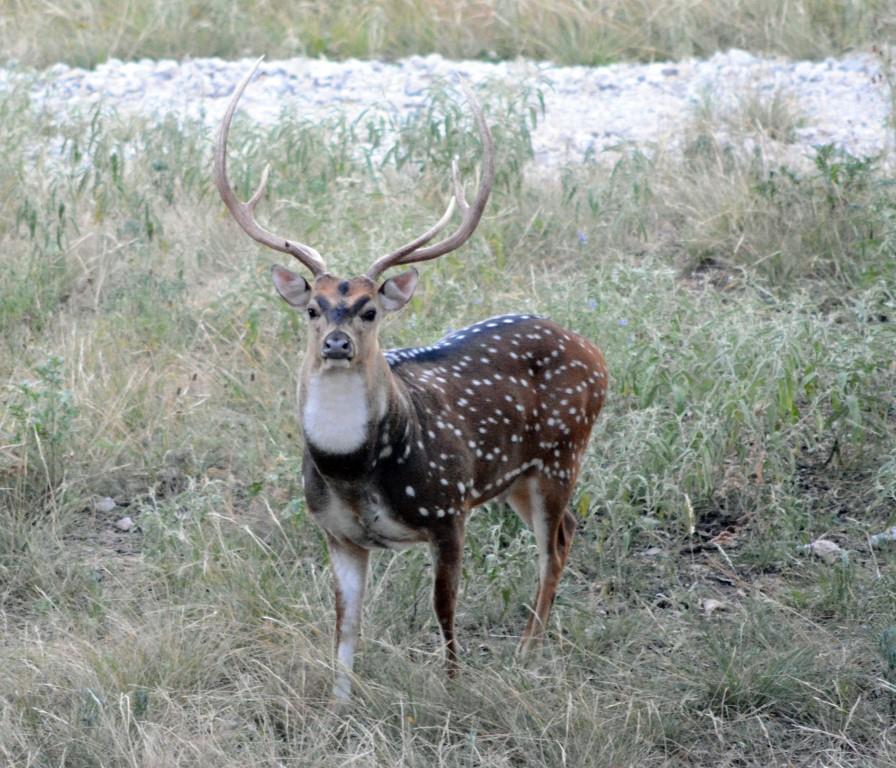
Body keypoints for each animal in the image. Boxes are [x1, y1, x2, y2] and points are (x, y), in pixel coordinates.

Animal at [216, 63, 608, 700]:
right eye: (313, 308)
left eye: (371, 309)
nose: (337, 343)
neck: (353, 470)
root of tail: (593, 350)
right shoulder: (337, 533)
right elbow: (345, 625)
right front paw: (339, 704)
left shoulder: (447, 510)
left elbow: (443, 610)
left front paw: (452, 688)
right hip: (519, 476)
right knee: (568, 529)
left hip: (561, 451)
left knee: (554, 545)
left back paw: (528, 652)